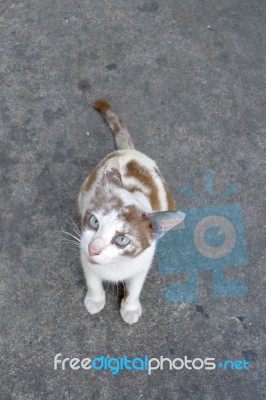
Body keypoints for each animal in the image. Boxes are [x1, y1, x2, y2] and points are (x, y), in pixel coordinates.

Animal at [78, 100, 184, 324]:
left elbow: (135, 287)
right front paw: (95, 299)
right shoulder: (84, 255)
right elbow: (92, 280)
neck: (114, 267)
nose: (93, 249)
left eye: (122, 240)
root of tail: (130, 151)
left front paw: (130, 308)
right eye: (94, 222)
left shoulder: (142, 265)